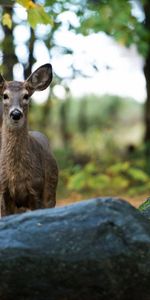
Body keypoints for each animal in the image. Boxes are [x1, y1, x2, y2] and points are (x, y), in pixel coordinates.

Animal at [0, 64, 58, 217]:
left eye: (26, 96)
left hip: (50, 193)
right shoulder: (3, 192)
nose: (16, 113)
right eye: (5, 95)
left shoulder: (36, 189)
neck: (16, 176)